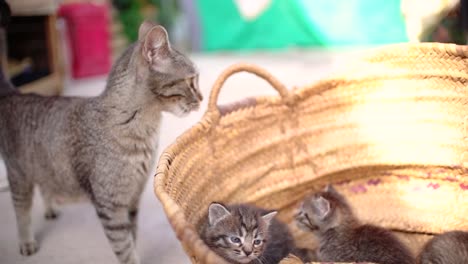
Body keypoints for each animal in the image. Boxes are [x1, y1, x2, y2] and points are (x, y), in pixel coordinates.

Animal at [0, 19, 202, 262]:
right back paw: (26, 241)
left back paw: (50, 209)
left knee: (45, 186)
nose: (201, 98)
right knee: (22, 211)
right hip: (19, 177)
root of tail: (14, 94)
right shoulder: (111, 207)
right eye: (191, 81)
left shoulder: (132, 200)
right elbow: (125, 249)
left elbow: (132, 238)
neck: (144, 130)